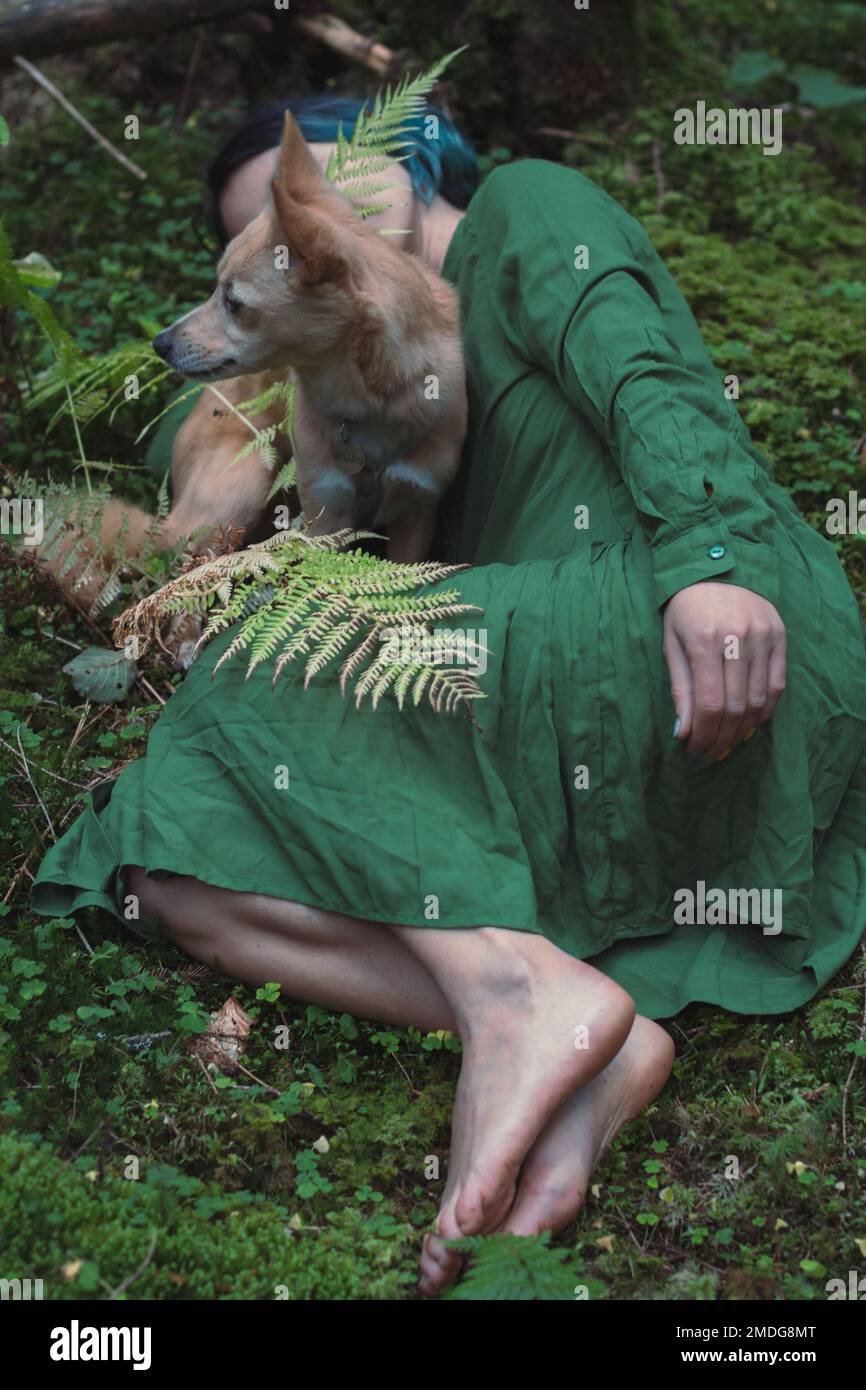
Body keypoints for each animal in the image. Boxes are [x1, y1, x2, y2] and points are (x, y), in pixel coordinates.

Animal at [154, 111, 467, 561]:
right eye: (216, 289)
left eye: (233, 303)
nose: (159, 343)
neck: (369, 405)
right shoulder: (325, 509)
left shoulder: (417, 509)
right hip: (237, 488)